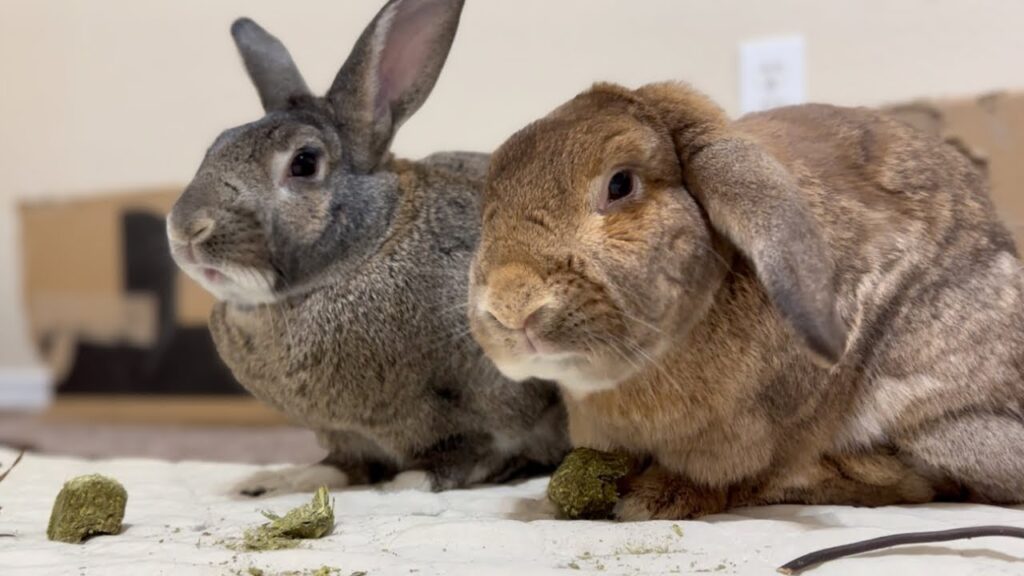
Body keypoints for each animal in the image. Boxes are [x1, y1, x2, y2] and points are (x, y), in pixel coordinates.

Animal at [166, 0, 568, 496]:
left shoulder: (502, 397)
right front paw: (294, 477)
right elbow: (342, 462)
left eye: (304, 163)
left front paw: (411, 481)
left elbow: (475, 451)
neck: (371, 245)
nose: (185, 230)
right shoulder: (345, 434)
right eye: (216, 146)